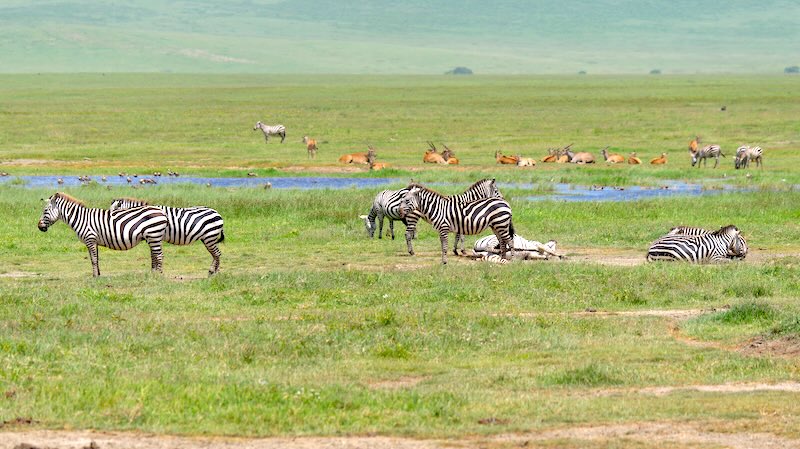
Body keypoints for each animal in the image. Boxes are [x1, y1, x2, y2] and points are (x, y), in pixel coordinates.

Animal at [37, 192, 168, 277]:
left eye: (45, 211)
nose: (39, 226)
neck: (80, 218)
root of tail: (162, 212)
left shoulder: (90, 239)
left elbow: (93, 259)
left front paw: (95, 276)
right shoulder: (94, 241)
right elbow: (96, 258)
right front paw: (98, 274)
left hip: (154, 235)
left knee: (159, 256)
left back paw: (159, 276)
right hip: (152, 237)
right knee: (156, 255)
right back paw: (155, 274)